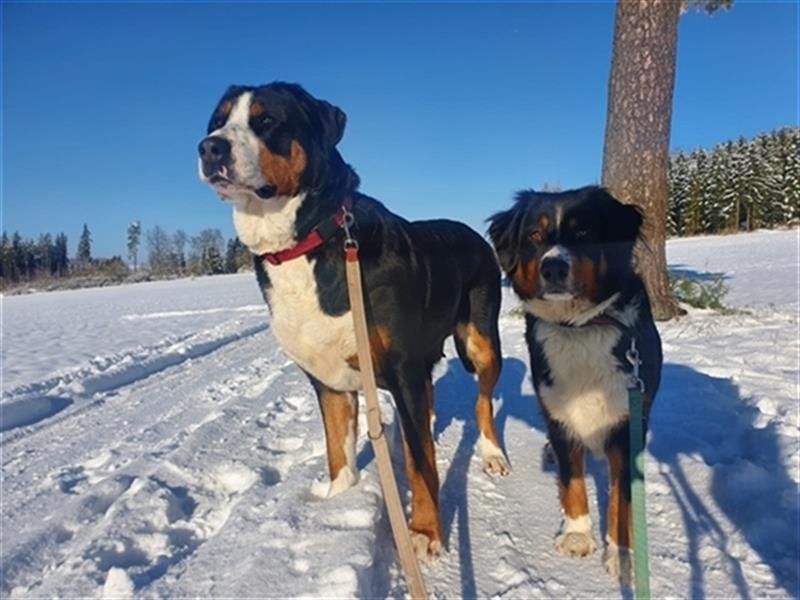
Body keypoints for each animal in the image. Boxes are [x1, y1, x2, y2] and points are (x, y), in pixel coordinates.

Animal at [198, 82, 510, 560]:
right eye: (217, 120)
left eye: (266, 120)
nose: (210, 147)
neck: (306, 244)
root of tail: (471, 231)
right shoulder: (329, 381)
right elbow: (339, 452)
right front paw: (337, 503)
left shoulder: (402, 371)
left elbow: (422, 468)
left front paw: (426, 532)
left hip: (482, 341)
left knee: (482, 401)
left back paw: (492, 455)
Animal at [488, 188, 664, 580]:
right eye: (535, 235)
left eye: (582, 233)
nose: (552, 267)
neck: (580, 327)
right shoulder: (560, 414)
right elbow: (573, 482)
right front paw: (577, 536)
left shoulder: (625, 423)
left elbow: (622, 499)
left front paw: (622, 554)